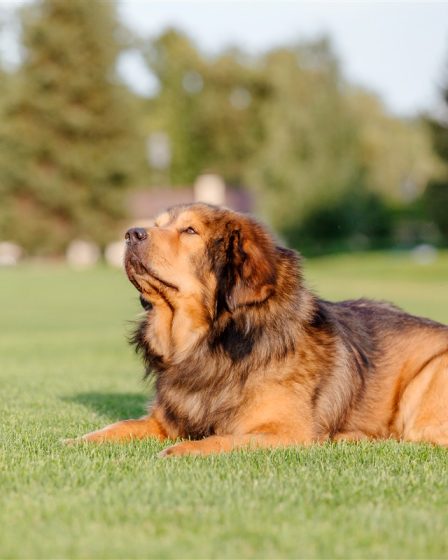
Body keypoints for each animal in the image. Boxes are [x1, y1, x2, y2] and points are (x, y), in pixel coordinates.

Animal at [75, 203, 448, 458]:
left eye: (190, 231)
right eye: (156, 225)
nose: (131, 234)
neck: (214, 343)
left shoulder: (283, 433)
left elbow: (222, 439)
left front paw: (180, 451)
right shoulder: (164, 421)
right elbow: (117, 426)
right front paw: (74, 441)